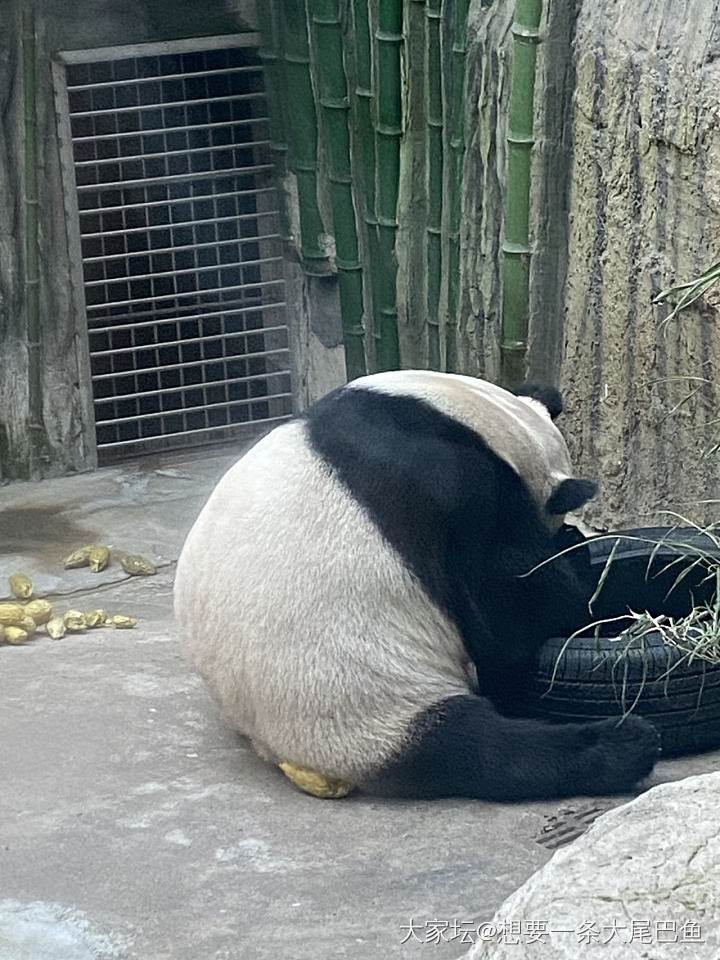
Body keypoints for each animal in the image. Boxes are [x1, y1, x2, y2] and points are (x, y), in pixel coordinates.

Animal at [174, 372, 660, 800]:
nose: (565, 534)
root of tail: (280, 750)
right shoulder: (455, 490)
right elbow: (510, 611)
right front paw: (574, 561)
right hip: (364, 707)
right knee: (478, 750)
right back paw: (623, 743)